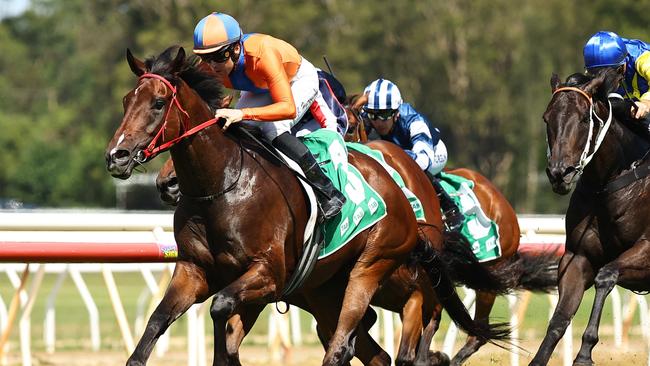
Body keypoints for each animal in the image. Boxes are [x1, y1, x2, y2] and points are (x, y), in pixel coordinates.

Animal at [105, 46, 506, 366]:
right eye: (126, 101)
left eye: (158, 103)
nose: (117, 156)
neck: (221, 185)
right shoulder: (193, 271)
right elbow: (159, 323)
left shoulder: (267, 275)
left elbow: (221, 309)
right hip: (326, 289)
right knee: (371, 350)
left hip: (372, 267)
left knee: (357, 340)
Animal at [528, 68, 648, 364]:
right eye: (547, 117)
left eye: (584, 119)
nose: (560, 173)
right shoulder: (578, 256)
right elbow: (559, 319)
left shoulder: (647, 252)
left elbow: (606, 276)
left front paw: (584, 352)